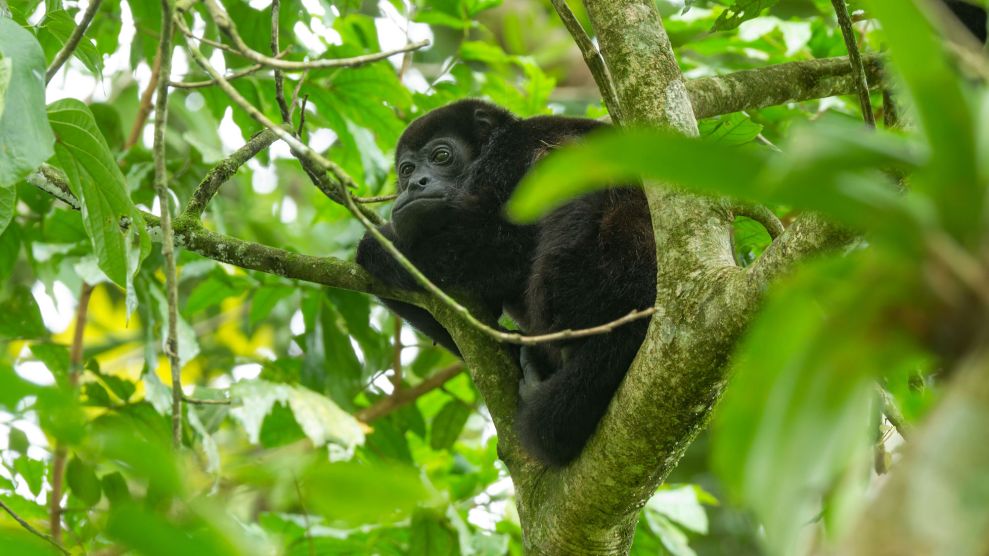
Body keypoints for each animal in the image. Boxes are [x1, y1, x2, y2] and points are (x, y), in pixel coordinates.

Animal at [356, 100, 656, 464]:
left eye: (441, 156)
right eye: (406, 169)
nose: (415, 183)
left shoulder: (511, 156)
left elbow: (513, 241)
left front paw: (381, 245)